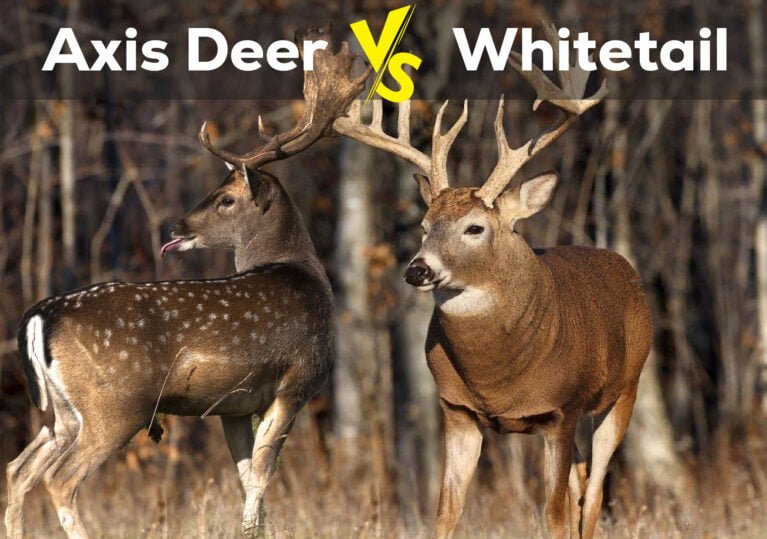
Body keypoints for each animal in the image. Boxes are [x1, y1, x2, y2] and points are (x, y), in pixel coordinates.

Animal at [5, 28, 368, 539]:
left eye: (225, 199)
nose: (177, 226)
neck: (306, 276)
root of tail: (41, 315)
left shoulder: (234, 405)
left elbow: (245, 476)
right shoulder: (297, 380)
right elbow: (262, 474)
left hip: (62, 410)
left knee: (18, 469)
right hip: (115, 404)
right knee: (60, 479)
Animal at [333, 22, 652, 539]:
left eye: (474, 228)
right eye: (424, 225)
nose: (417, 269)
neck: (497, 377)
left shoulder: (560, 410)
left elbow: (554, 515)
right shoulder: (457, 410)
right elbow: (446, 512)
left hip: (626, 388)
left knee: (594, 494)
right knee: (584, 484)